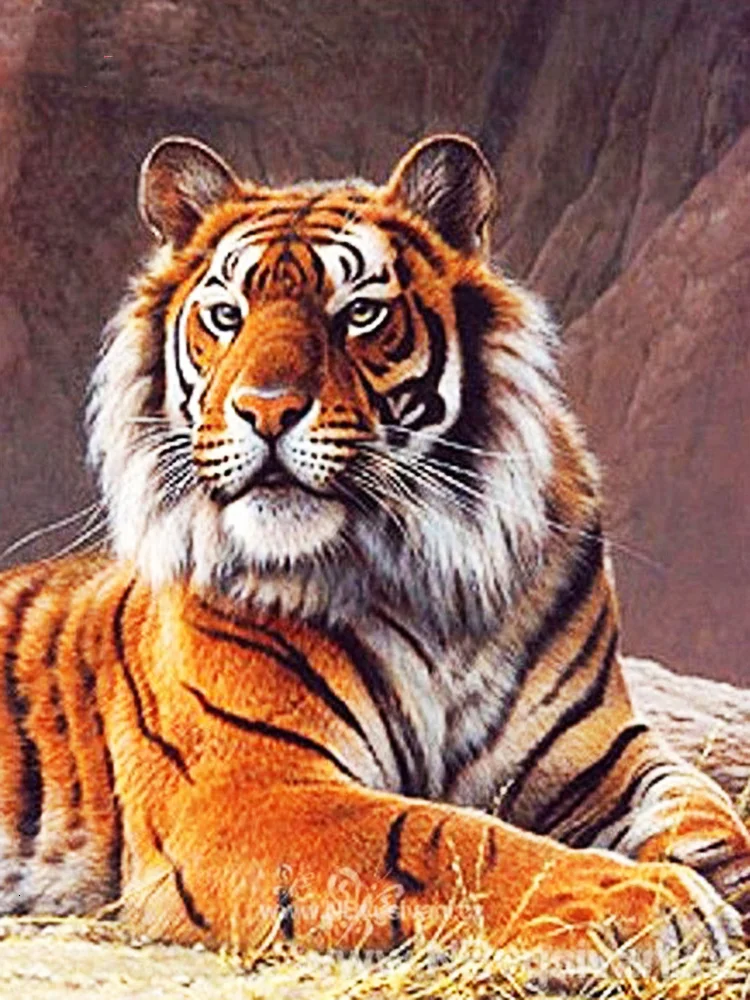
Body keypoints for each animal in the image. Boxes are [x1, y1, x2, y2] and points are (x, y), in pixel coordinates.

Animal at [0, 134, 748, 974]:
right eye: (226, 317)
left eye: (358, 313)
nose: (265, 411)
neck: (433, 573)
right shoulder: (247, 792)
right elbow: (447, 838)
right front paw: (649, 901)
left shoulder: (597, 753)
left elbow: (701, 809)